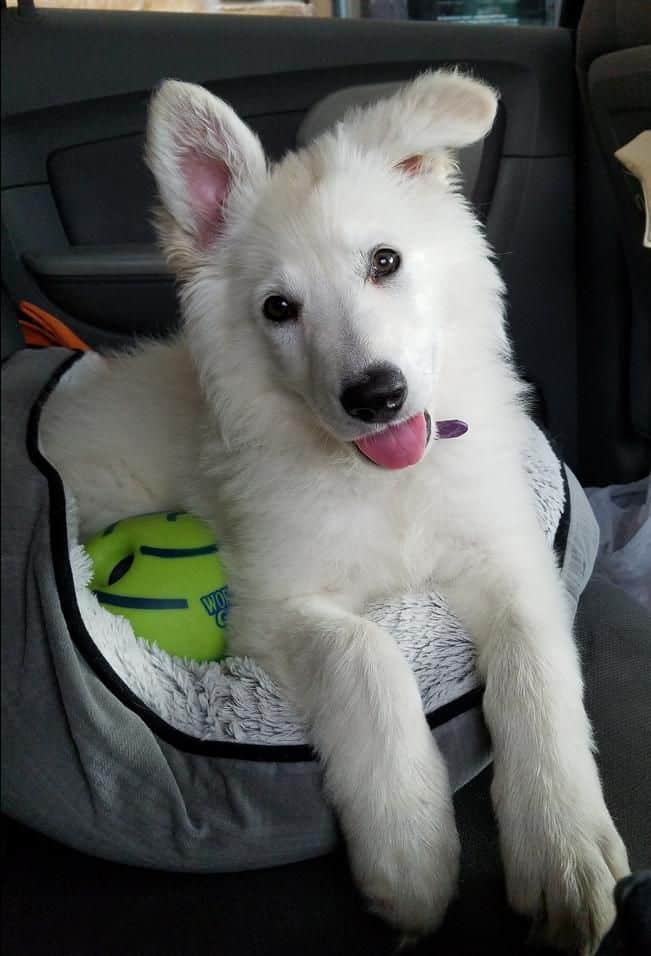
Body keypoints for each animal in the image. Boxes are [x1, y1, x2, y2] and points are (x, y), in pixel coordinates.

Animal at [42, 71, 632, 952]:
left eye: (384, 261)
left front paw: (561, 848)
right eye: (277, 309)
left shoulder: (509, 561)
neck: (385, 484)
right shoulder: (271, 604)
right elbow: (367, 656)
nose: (375, 396)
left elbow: (536, 673)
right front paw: (412, 854)